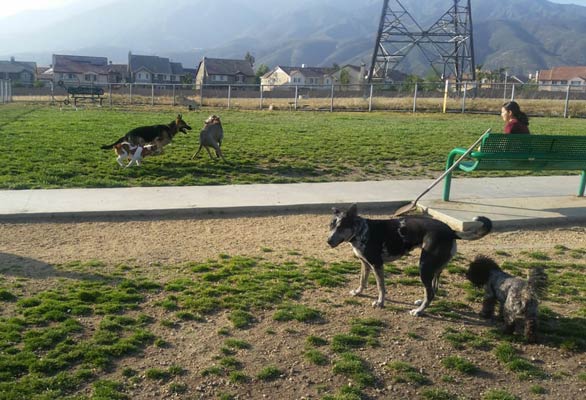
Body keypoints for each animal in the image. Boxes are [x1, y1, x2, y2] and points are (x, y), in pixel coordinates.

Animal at [326, 206, 490, 316]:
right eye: (331, 226)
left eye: (341, 227)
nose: (328, 241)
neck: (360, 231)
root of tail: (451, 231)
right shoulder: (365, 263)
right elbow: (362, 281)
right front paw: (358, 292)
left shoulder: (377, 265)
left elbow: (381, 287)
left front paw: (380, 303)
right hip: (435, 269)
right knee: (434, 289)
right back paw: (420, 303)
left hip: (424, 267)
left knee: (430, 292)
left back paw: (418, 311)